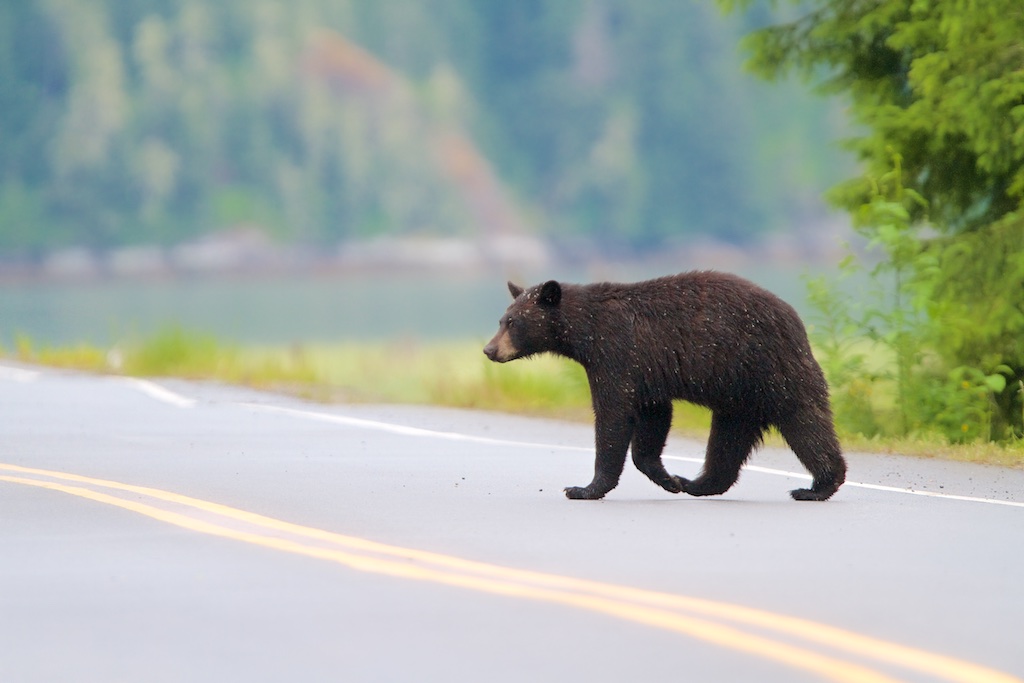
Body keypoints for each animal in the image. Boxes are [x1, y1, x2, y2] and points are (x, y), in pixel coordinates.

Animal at [483, 271, 846, 501]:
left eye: (513, 322)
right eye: (502, 320)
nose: (489, 349)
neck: (586, 332)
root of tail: (796, 320)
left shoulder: (616, 355)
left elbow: (613, 415)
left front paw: (584, 488)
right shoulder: (645, 372)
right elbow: (652, 417)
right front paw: (668, 479)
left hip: (769, 369)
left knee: (805, 423)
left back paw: (817, 486)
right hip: (739, 396)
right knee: (728, 440)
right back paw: (695, 483)